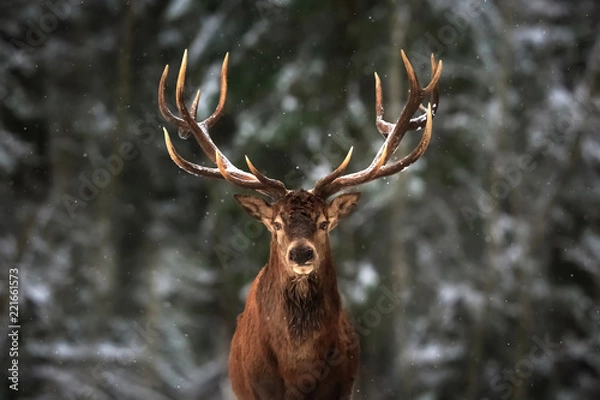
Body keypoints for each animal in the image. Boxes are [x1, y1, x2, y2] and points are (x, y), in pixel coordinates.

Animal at [158, 50, 440, 400]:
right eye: (277, 224)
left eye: (324, 223)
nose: (301, 254)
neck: (299, 370)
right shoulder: (258, 391)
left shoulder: (340, 389)